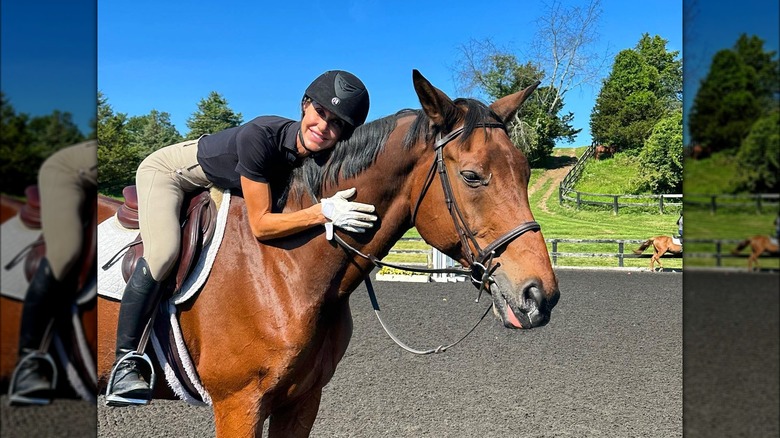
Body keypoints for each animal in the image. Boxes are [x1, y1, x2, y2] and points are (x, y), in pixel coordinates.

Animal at [97, 70, 560, 436]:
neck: (282, 266)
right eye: (471, 176)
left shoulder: (302, 402)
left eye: (524, 170)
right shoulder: (238, 405)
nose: (541, 296)